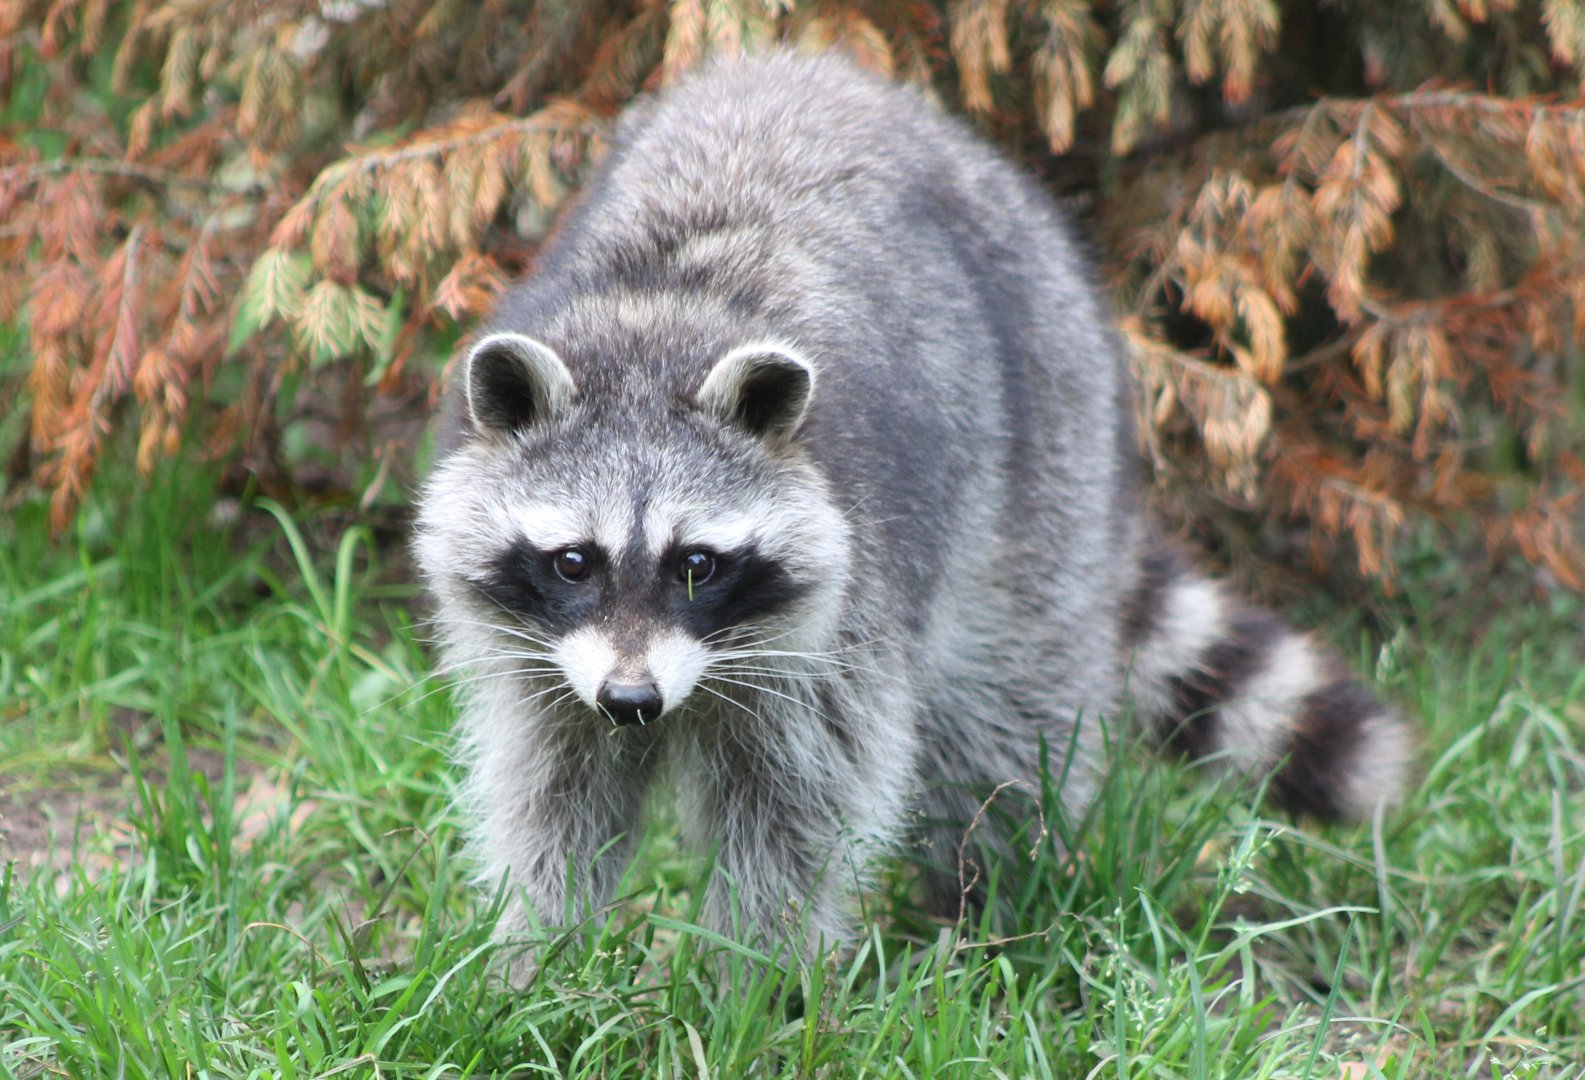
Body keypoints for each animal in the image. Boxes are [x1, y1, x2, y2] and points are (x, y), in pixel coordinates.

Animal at [414, 50, 1413, 953]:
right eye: (572, 561)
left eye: (696, 563)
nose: (631, 700)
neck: (659, 323)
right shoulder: (540, 657)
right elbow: (555, 791)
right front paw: (535, 959)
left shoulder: (847, 618)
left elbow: (801, 811)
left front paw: (748, 978)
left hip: (1046, 449)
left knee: (1005, 727)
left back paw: (991, 906)